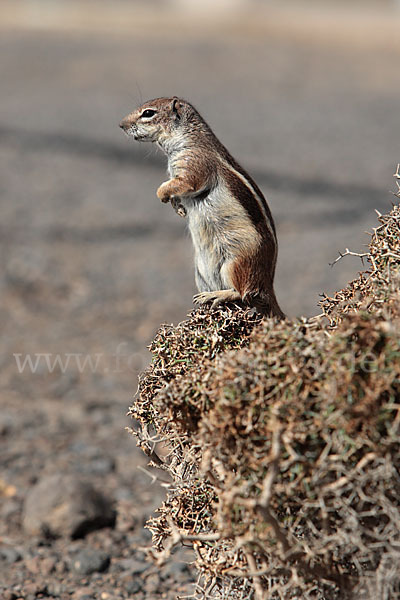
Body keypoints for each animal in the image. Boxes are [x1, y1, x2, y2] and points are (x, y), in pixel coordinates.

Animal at [119, 97, 284, 318]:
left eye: (148, 113)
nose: (121, 125)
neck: (189, 137)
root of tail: (268, 284)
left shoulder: (194, 164)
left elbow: (180, 184)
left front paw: (163, 195)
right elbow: (175, 188)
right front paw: (178, 207)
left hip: (236, 263)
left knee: (243, 292)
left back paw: (217, 295)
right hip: (200, 272)